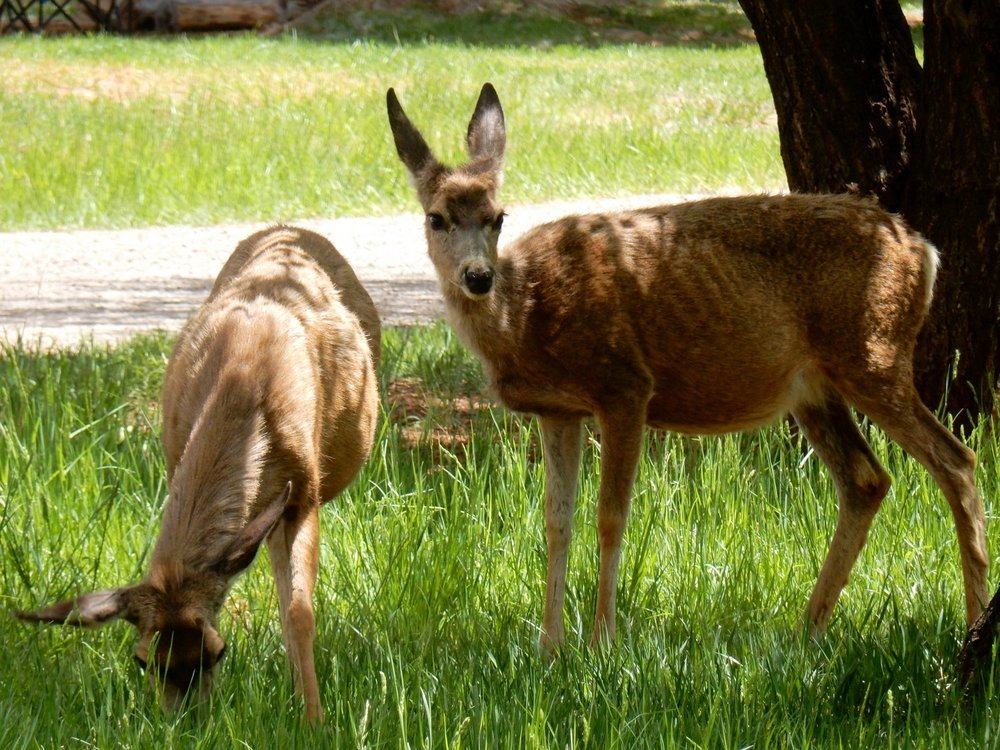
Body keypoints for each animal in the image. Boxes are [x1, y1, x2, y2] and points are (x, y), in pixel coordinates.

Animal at [15, 228, 382, 724]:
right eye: (143, 661)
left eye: (219, 651)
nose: (187, 724)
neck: (241, 377)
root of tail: (288, 229)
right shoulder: (177, 458)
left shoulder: (303, 495)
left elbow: (299, 612)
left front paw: (314, 720)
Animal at [386, 85, 988, 656]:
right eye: (437, 218)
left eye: (498, 217)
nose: (477, 276)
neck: (525, 317)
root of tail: (923, 250)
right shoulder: (558, 410)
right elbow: (557, 521)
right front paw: (548, 647)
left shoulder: (624, 384)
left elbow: (611, 515)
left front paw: (602, 643)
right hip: (814, 388)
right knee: (867, 479)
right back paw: (805, 633)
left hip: (873, 352)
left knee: (956, 460)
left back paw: (972, 622)